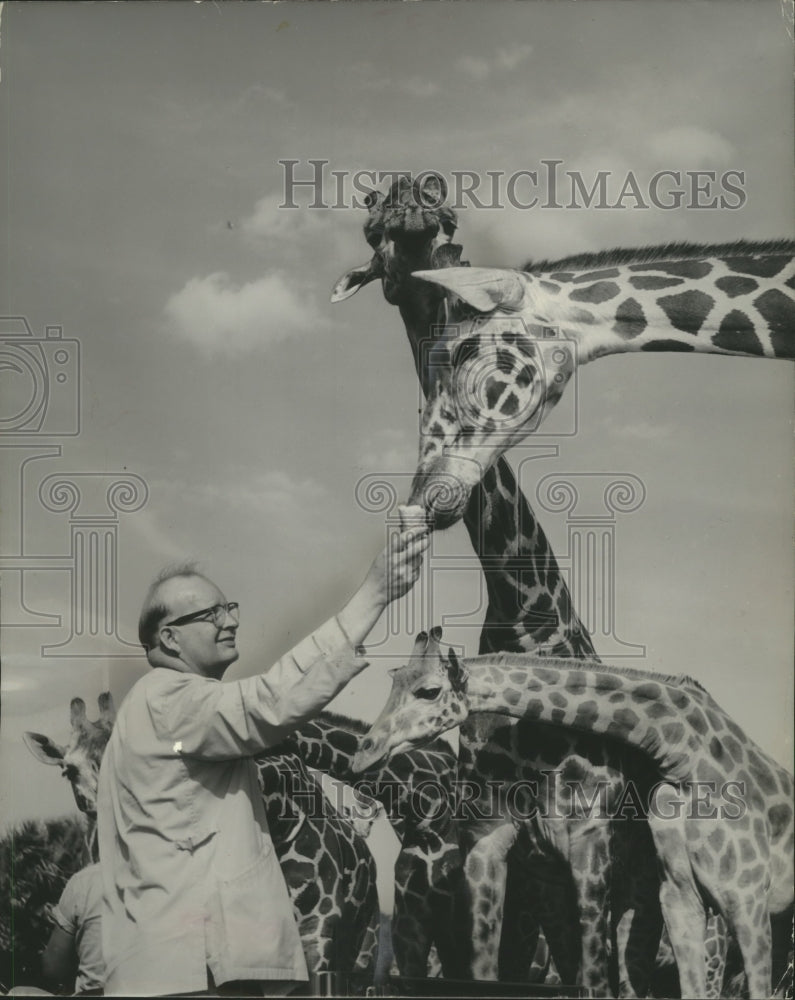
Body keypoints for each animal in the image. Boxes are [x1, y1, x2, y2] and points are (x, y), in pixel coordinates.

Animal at [332, 174, 668, 992]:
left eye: (448, 228)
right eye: (372, 237)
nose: (406, 198)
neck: (527, 610)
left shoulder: (585, 843)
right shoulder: (499, 845)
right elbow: (483, 971)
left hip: (633, 891)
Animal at [354, 632, 795, 1000]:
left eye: (428, 691)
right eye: (393, 681)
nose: (365, 752)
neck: (685, 754)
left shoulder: (746, 896)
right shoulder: (678, 897)